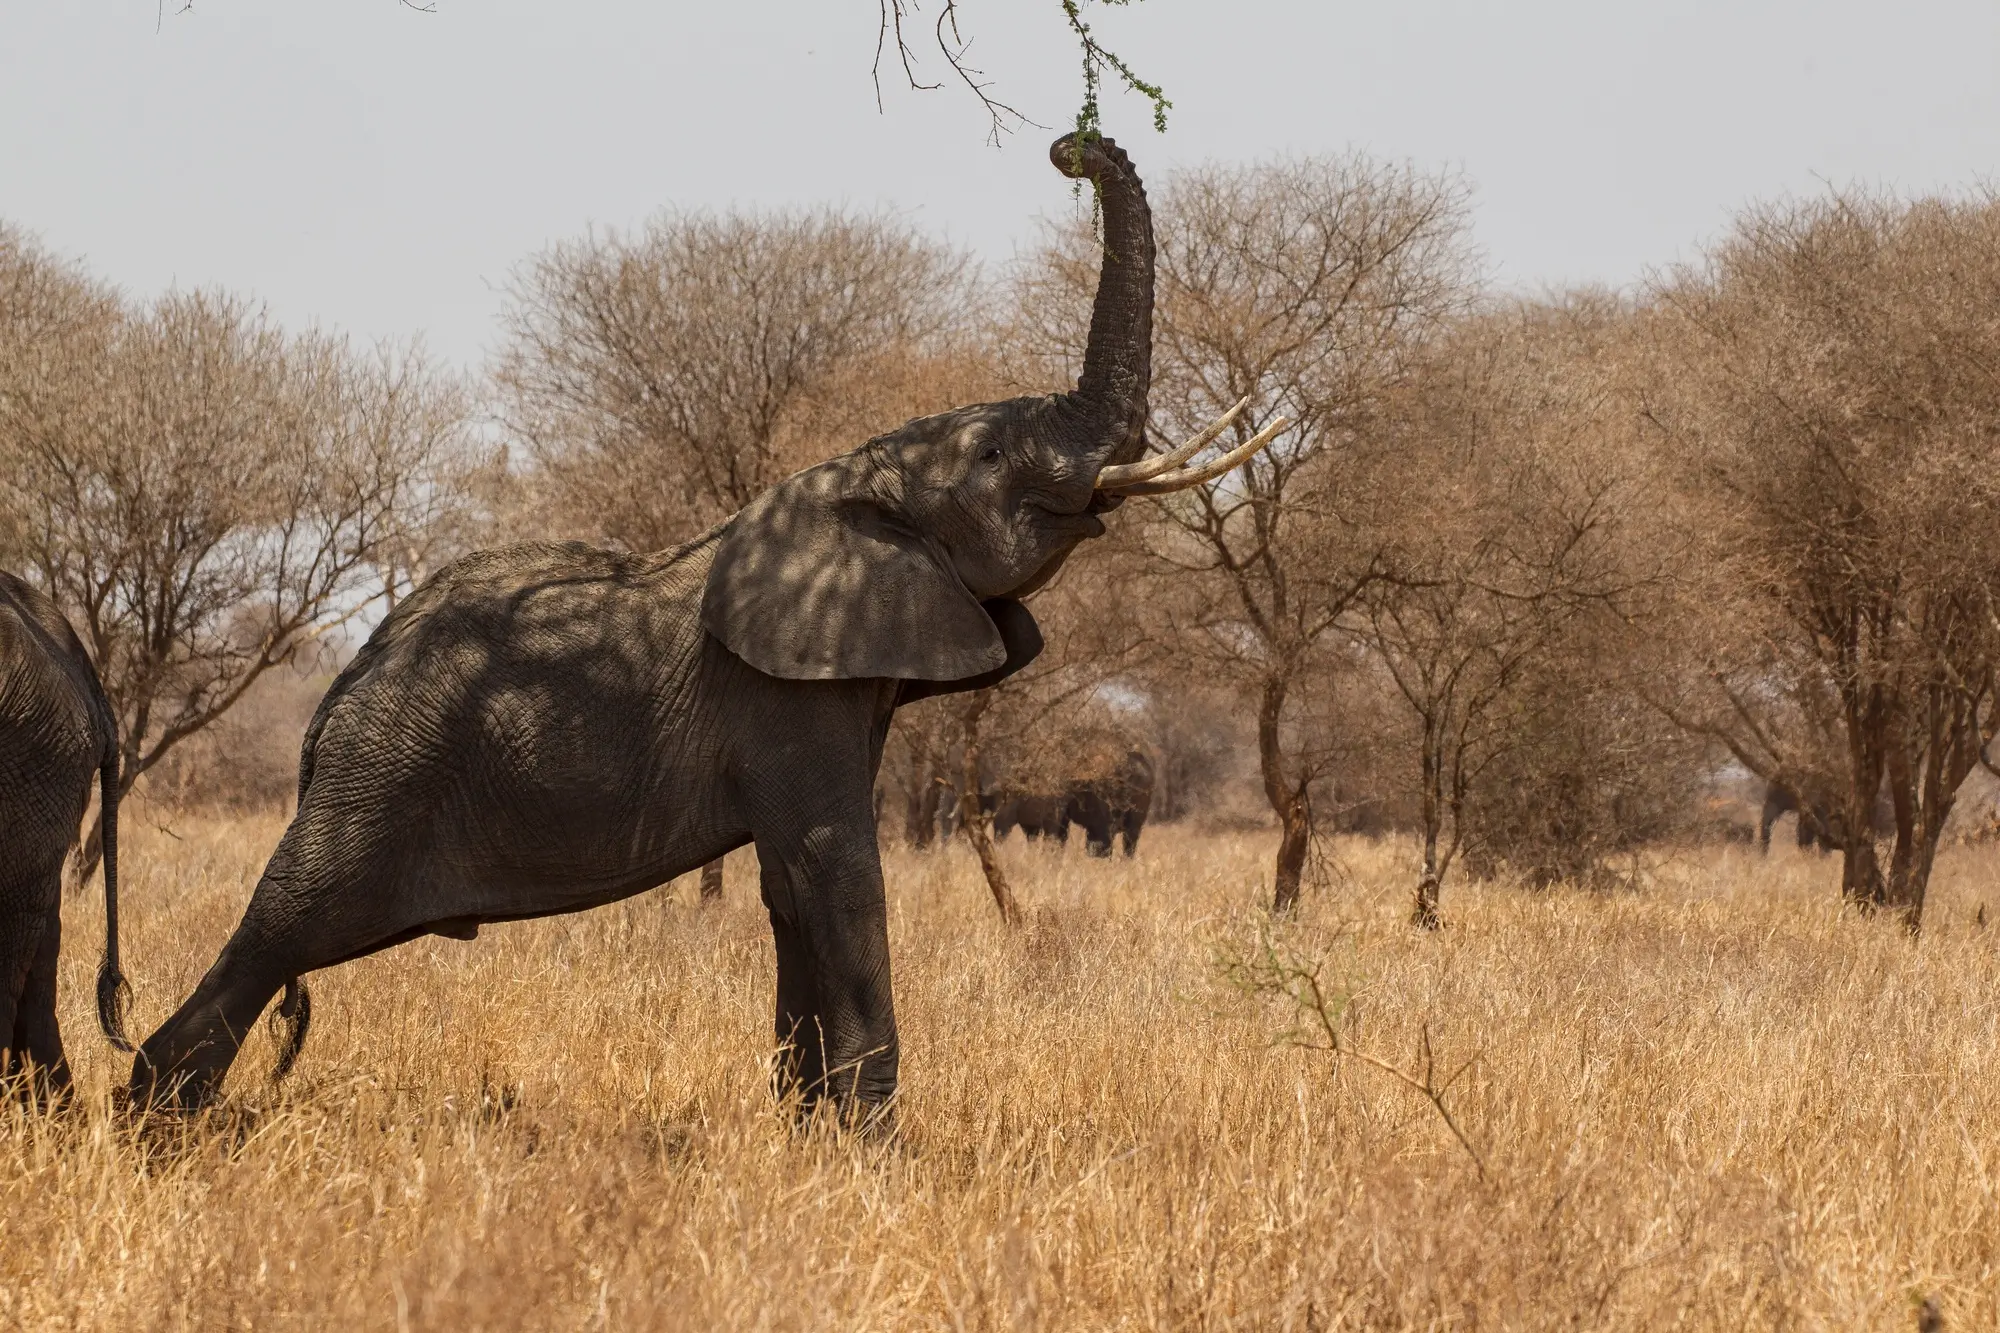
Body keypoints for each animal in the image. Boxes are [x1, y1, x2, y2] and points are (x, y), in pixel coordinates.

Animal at [131, 134, 1279, 1117]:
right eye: (994, 454)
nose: (1066, 149)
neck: (857, 478)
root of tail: (336, 696)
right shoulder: (785, 695)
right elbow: (834, 868)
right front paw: (870, 1150)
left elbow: (788, 887)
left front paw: (811, 1131)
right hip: (380, 779)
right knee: (286, 925)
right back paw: (161, 1127)